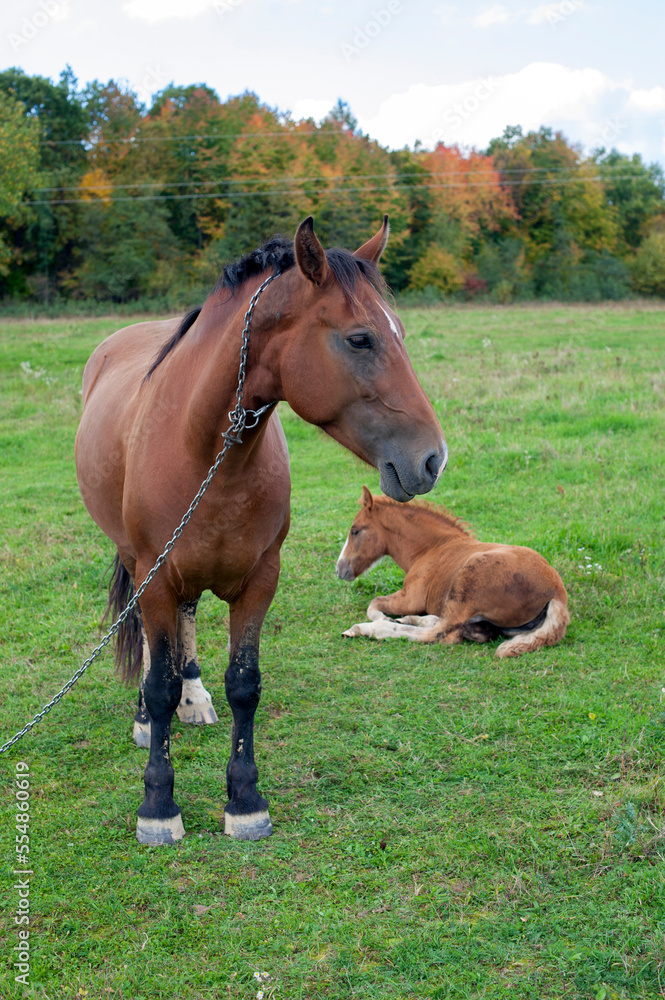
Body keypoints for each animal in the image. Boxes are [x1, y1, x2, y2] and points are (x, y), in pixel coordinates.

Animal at [74, 215, 446, 840]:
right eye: (361, 339)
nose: (432, 459)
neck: (202, 448)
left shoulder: (259, 580)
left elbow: (245, 685)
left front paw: (245, 799)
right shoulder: (156, 574)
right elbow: (158, 682)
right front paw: (158, 804)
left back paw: (194, 698)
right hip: (137, 561)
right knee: (152, 644)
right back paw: (151, 720)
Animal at [338, 490, 572, 660]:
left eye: (355, 530)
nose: (339, 569)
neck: (432, 548)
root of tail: (556, 594)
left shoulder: (410, 598)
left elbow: (374, 604)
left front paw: (382, 619)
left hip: (468, 582)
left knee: (440, 634)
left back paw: (366, 629)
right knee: (466, 629)